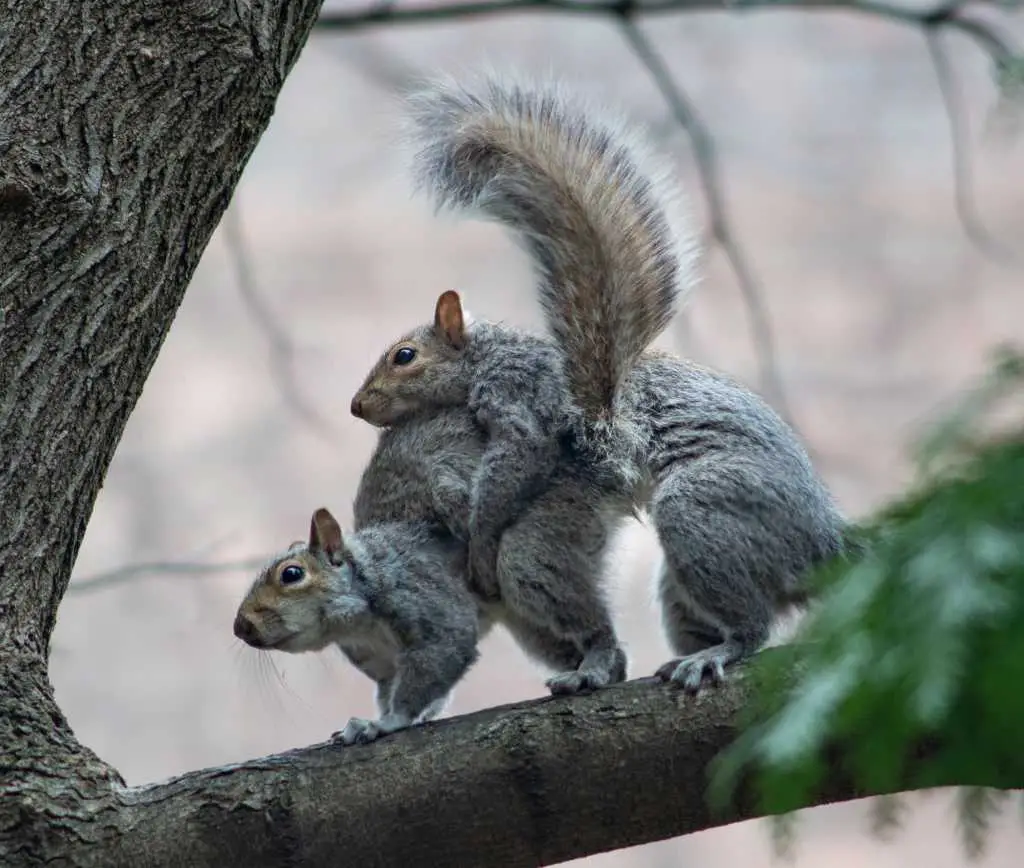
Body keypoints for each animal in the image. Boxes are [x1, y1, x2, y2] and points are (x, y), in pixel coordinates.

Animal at [235, 507, 483, 745]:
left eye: (291, 573)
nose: (240, 628)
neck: (359, 624)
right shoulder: (375, 656)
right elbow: (388, 687)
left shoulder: (426, 606)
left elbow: (443, 652)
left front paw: (389, 721)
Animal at [348, 76, 843, 700]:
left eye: (404, 357)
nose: (356, 406)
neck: (489, 354)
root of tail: (824, 538)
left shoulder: (517, 396)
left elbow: (517, 458)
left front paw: (480, 545)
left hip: (703, 508)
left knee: (748, 626)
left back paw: (705, 653)